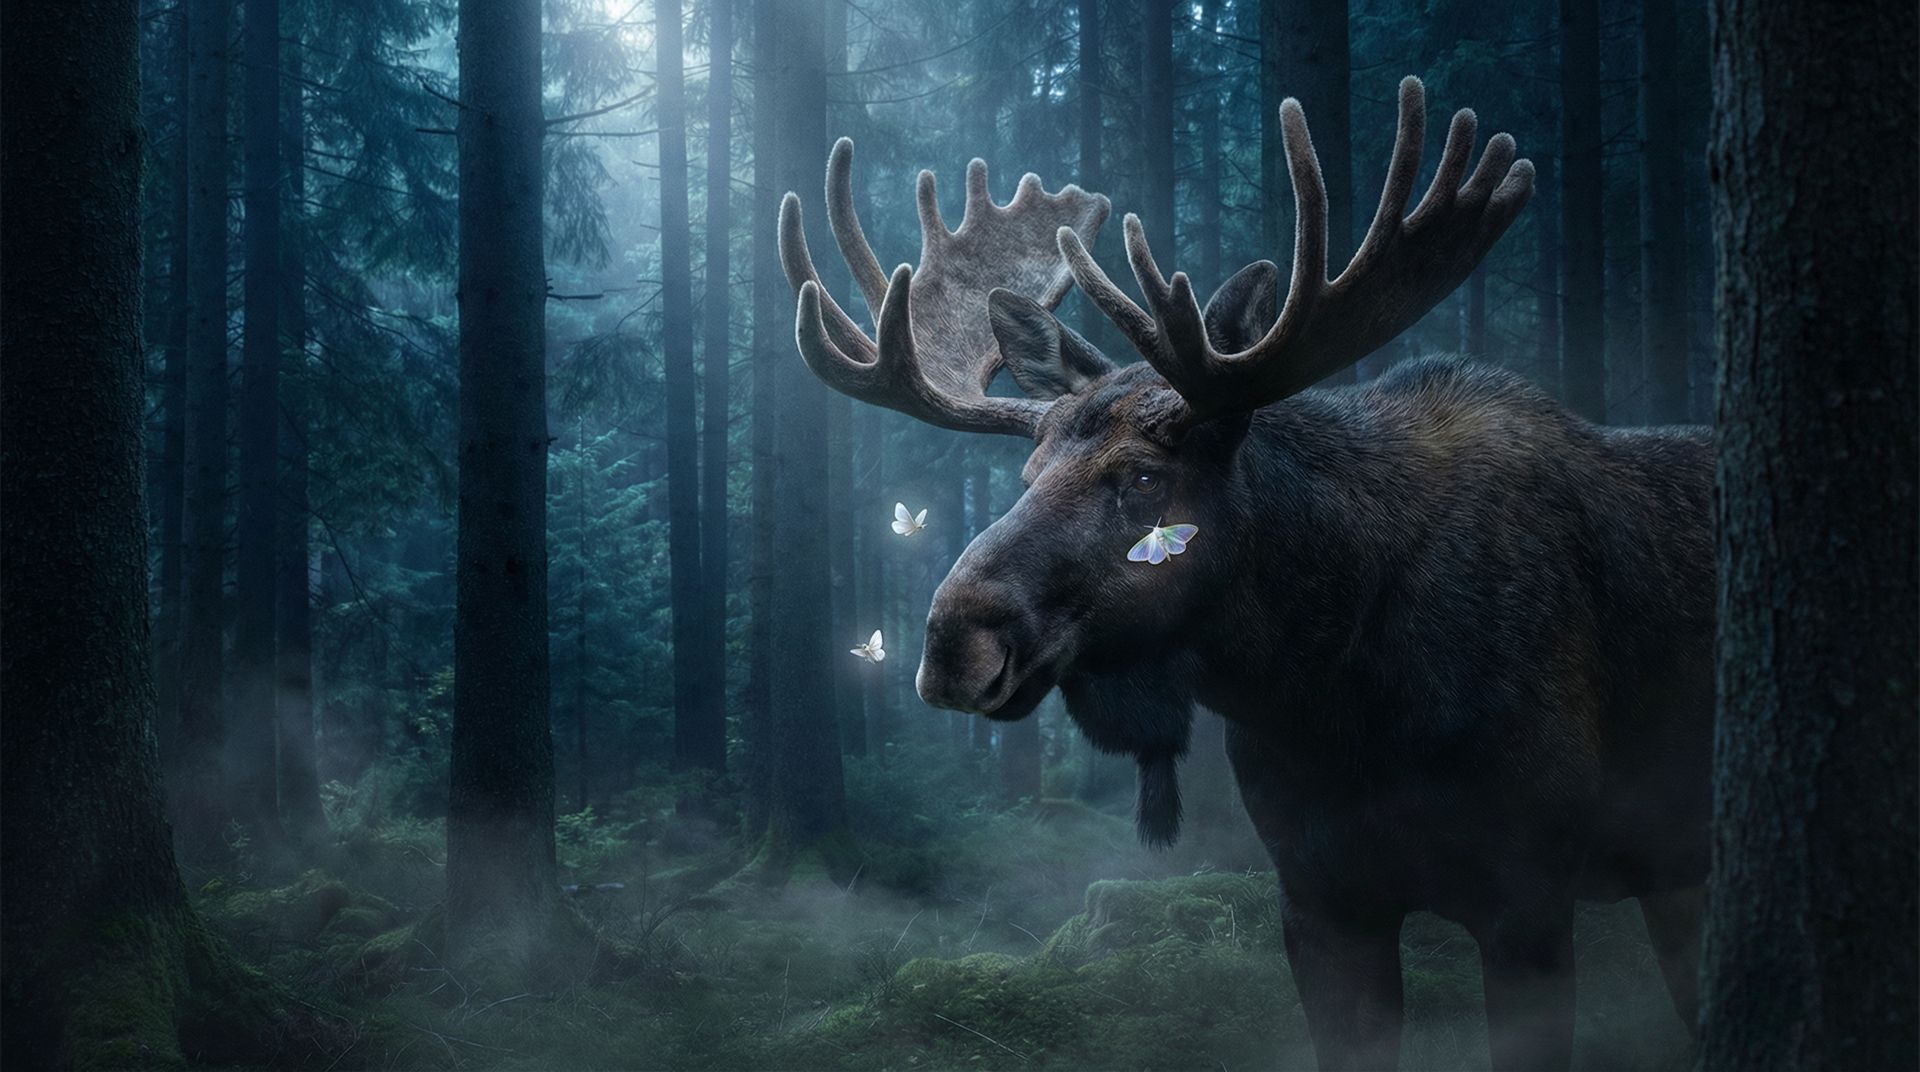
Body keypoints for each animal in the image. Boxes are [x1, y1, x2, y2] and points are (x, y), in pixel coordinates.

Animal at [778, 76, 1714, 1071]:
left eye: (1146, 479)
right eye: (1027, 473)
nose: (953, 642)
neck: (1332, 687)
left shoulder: (1528, 892)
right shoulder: (1318, 900)